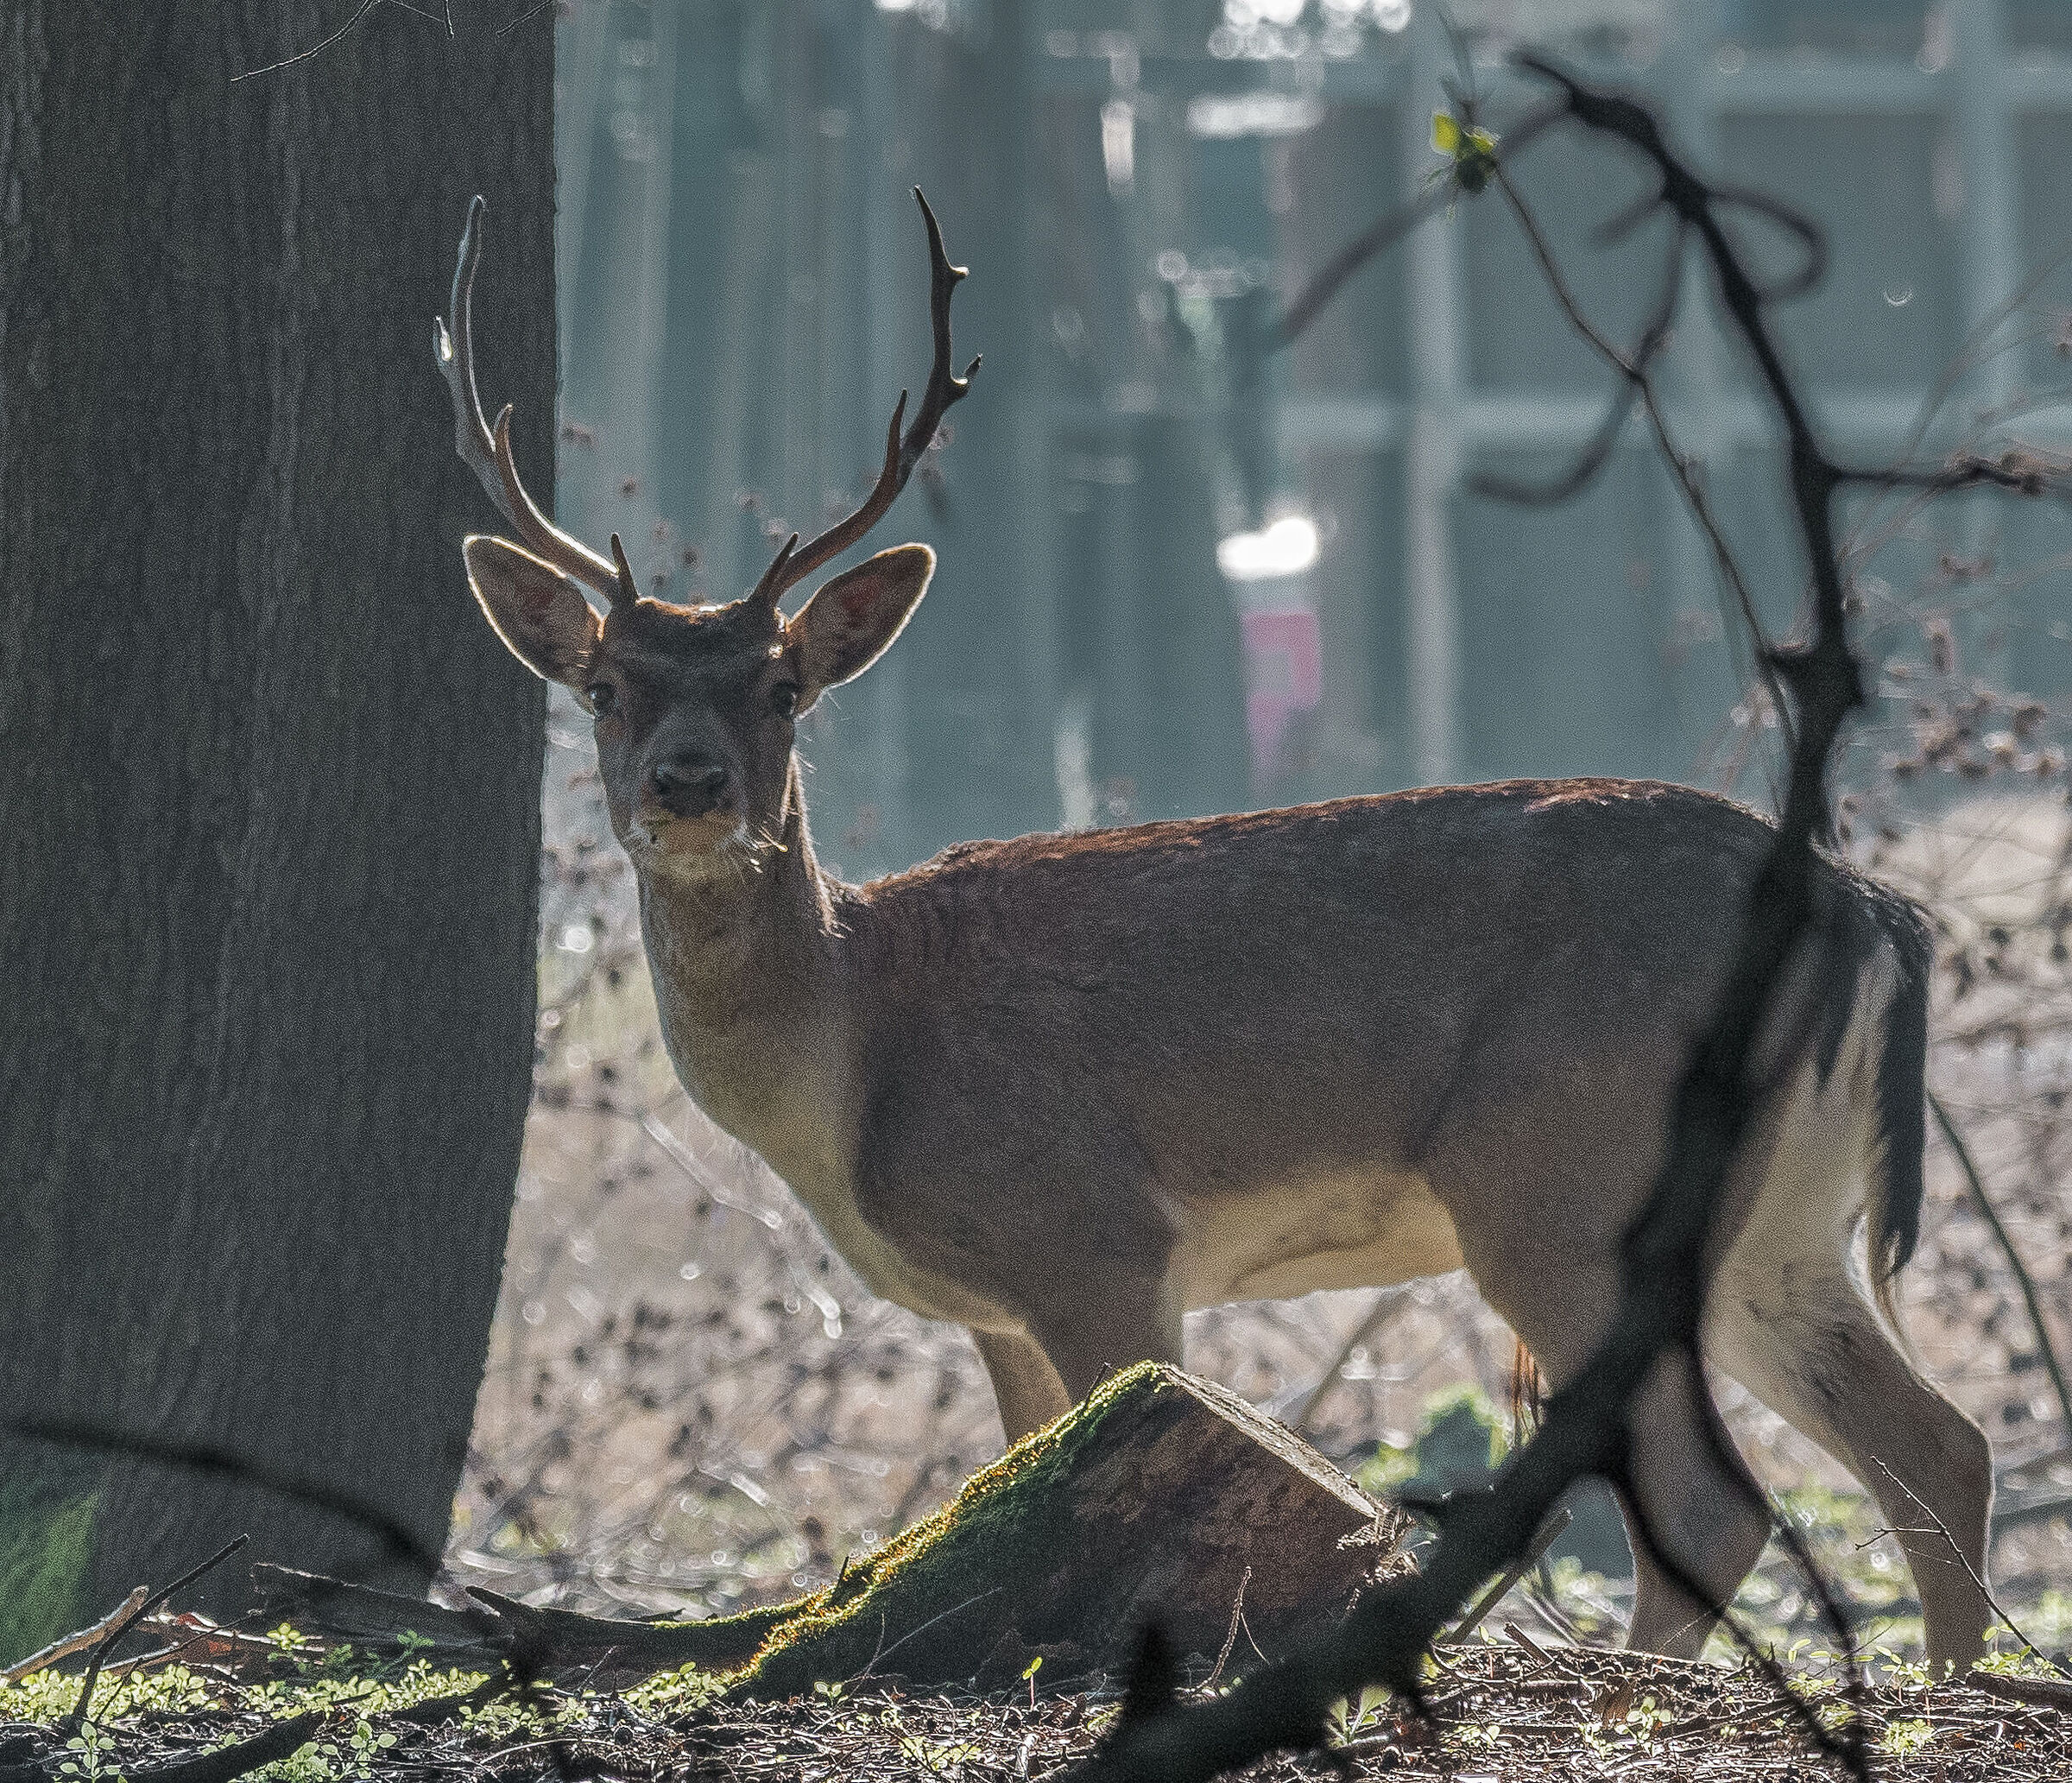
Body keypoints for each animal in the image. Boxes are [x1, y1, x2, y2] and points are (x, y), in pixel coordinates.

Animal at [435, 191, 1992, 1668]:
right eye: (604, 689)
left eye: (781, 687)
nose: (689, 784)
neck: (852, 1051)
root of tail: (1868, 907)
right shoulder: (995, 1303)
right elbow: (1015, 1471)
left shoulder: (1092, 1234)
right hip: (1781, 1213)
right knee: (1941, 1447)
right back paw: (1952, 1689)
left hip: (1566, 1175)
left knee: (1716, 1500)